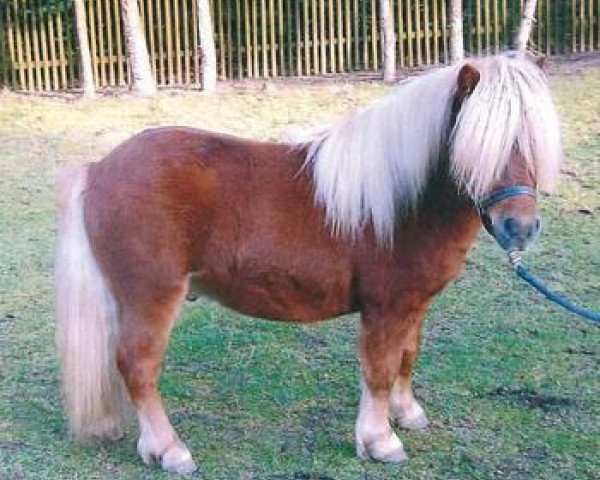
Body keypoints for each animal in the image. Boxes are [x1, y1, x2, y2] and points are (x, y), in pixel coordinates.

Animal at [55, 54, 564, 474]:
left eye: (533, 139)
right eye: (480, 145)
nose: (519, 228)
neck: (406, 201)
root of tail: (99, 169)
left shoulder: (414, 305)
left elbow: (406, 357)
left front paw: (407, 414)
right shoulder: (386, 308)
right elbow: (379, 371)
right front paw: (380, 441)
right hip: (153, 296)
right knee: (138, 366)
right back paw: (169, 450)